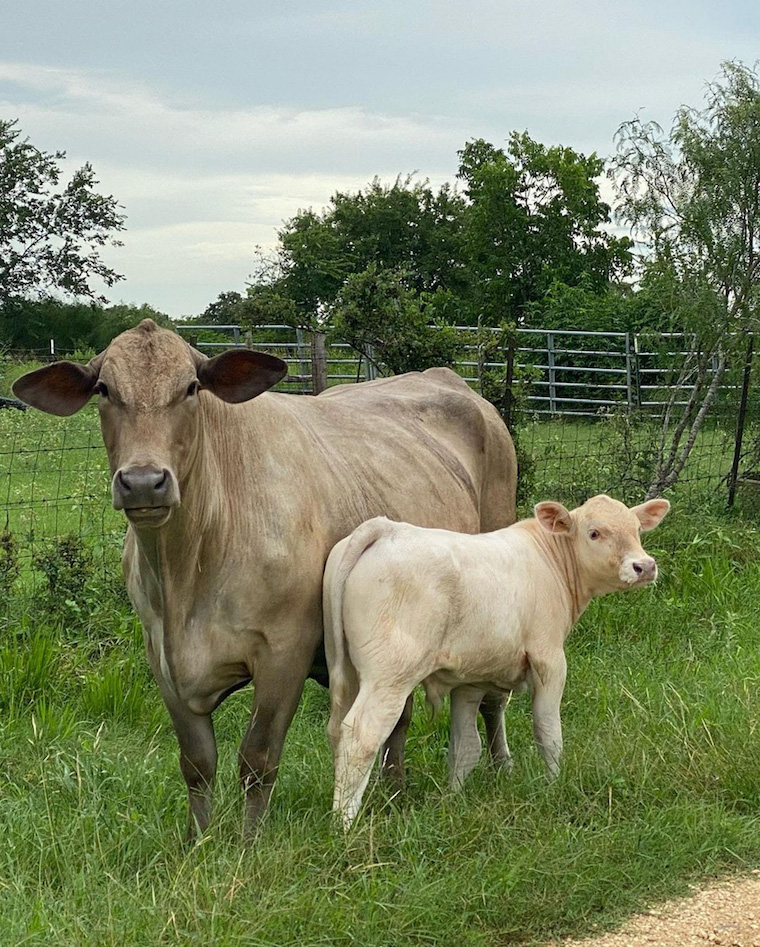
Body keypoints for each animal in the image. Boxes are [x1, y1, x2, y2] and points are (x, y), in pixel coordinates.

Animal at [13, 319, 517, 838]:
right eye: (104, 390)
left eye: (190, 388)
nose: (143, 482)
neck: (184, 577)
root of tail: (452, 381)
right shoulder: (162, 657)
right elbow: (197, 763)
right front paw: (198, 840)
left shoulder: (284, 650)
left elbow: (257, 758)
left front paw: (249, 842)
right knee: (397, 716)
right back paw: (394, 792)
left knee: (492, 697)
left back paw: (500, 766)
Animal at [324, 494, 670, 827]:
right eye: (594, 533)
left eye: (637, 530)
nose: (644, 566)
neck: (550, 560)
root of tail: (386, 528)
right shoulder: (549, 660)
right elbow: (548, 733)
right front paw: (553, 786)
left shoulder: (471, 680)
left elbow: (465, 746)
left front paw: (453, 800)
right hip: (390, 677)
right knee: (361, 735)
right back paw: (344, 824)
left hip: (348, 672)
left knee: (338, 730)